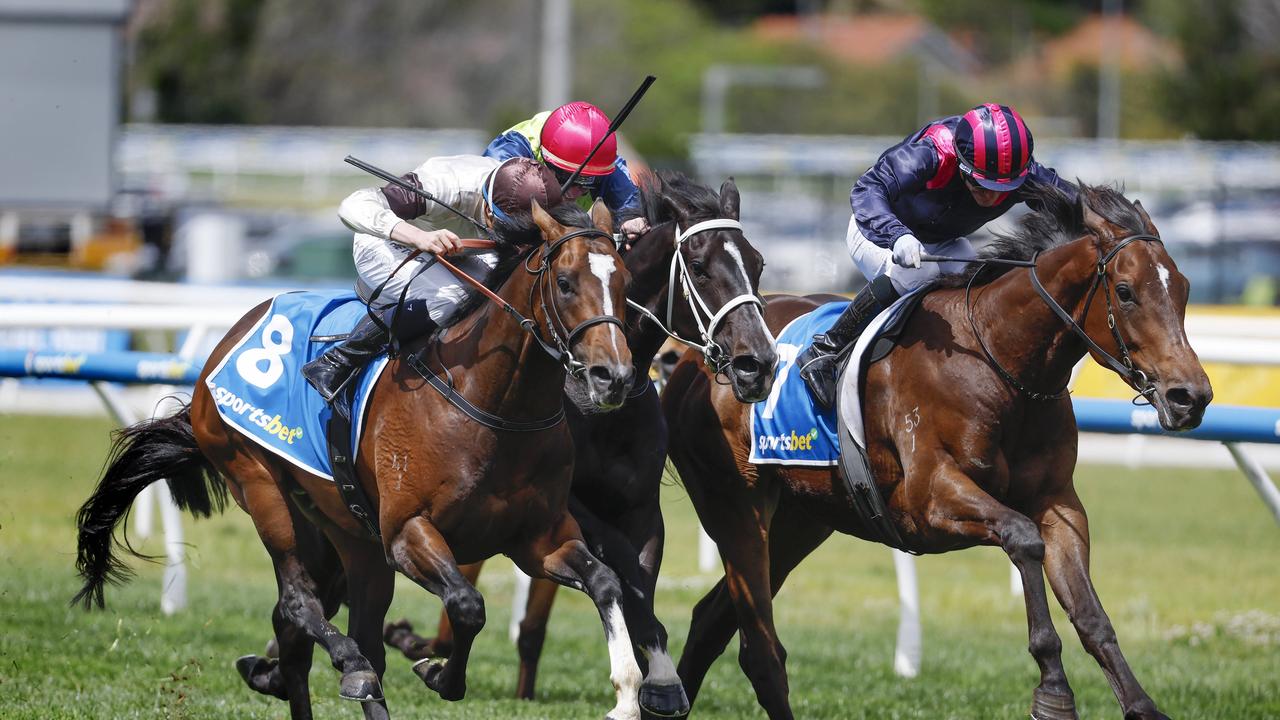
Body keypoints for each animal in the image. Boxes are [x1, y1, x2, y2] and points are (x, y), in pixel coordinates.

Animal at [71, 197, 686, 717]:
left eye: (624, 282)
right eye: (564, 282)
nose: (612, 376)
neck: (495, 406)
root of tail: (223, 348)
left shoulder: (539, 537)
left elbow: (606, 581)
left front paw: (630, 691)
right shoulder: (408, 533)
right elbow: (468, 604)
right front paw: (440, 673)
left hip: (350, 537)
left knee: (320, 633)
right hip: (262, 485)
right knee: (301, 605)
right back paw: (351, 666)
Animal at [381, 174, 778, 702]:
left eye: (757, 263)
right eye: (699, 267)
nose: (758, 363)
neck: (598, 411)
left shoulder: (640, 508)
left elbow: (639, 575)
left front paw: (658, 678)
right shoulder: (572, 507)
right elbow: (623, 566)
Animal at [665, 184, 1213, 717]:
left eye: (1184, 289)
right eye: (1125, 292)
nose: (1190, 396)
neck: (998, 360)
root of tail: (699, 356)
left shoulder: (1059, 501)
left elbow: (1090, 612)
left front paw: (1140, 705)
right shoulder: (930, 498)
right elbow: (1023, 537)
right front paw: (1053, 688)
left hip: (801, 519)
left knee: (711, 618)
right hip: (737, 504)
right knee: (757, 647)